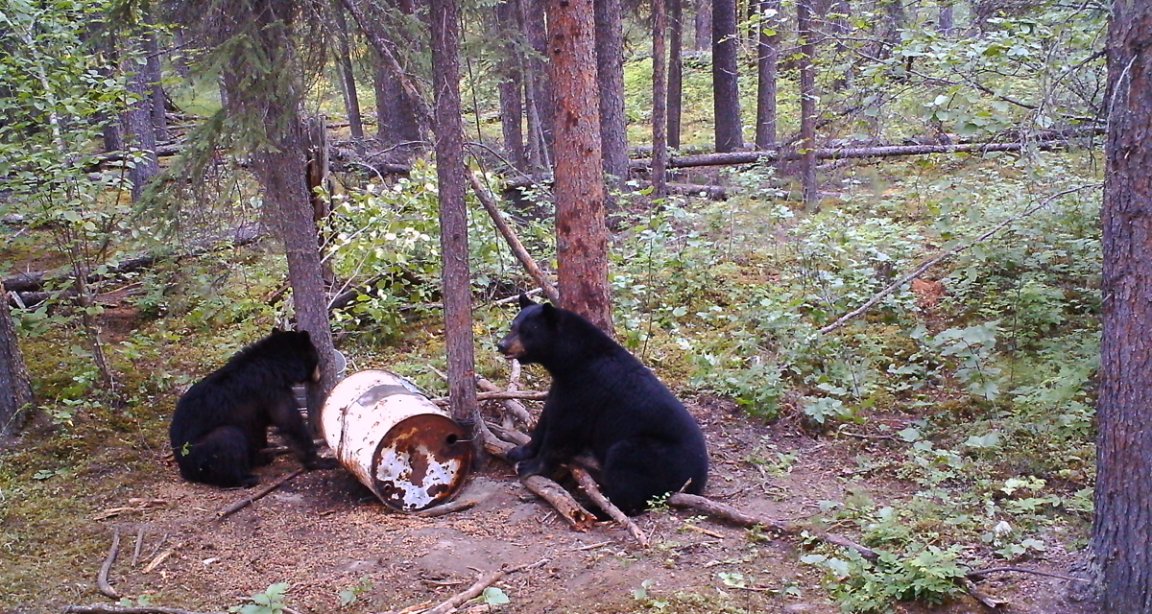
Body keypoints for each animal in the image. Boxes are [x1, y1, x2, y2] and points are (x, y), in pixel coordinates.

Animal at [169, 329, 334, 488]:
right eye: (316, 357)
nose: (319, 376)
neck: (275, 363)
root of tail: (184, 469)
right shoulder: (271, 389)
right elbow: (289, 421)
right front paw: (320, 461)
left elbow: (260, 428)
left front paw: (264, 454)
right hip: (199, 451)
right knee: (227, 437)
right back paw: (244, 478)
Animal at [497, 294, 709, 515]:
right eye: (513, 325)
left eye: (527, 332)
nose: (501, 345)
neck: (573, 360)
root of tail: (699, 478)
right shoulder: (561, 385)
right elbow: (546, 417)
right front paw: (518, 452)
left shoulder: (586, 389)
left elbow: (563, 429)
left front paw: (530, 466)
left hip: (656, 456)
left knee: (627, 477)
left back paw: (596, 506)